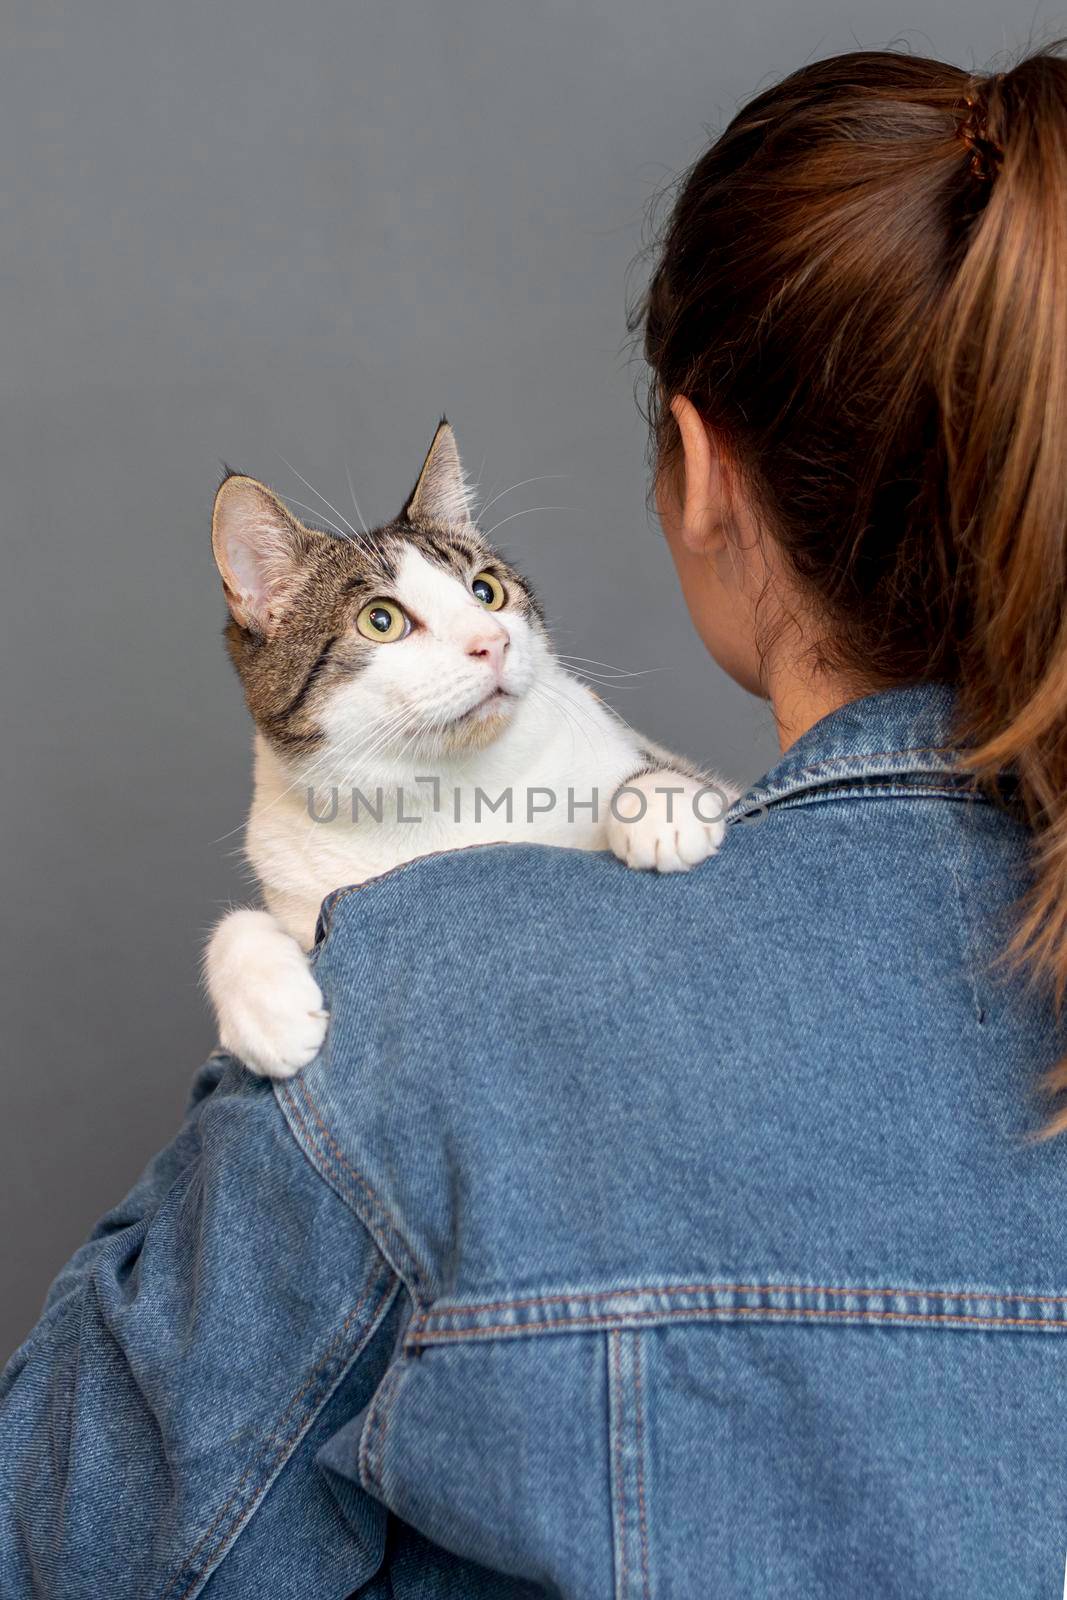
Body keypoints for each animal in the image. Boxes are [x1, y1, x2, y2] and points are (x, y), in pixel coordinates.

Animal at [204, 419, 739, 1081]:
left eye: (486, 592)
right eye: (380, 621)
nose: (493, 640)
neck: (447, 794)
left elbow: (659, 773)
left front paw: (661, 806)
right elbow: (238, 926)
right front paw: (264, 1005)